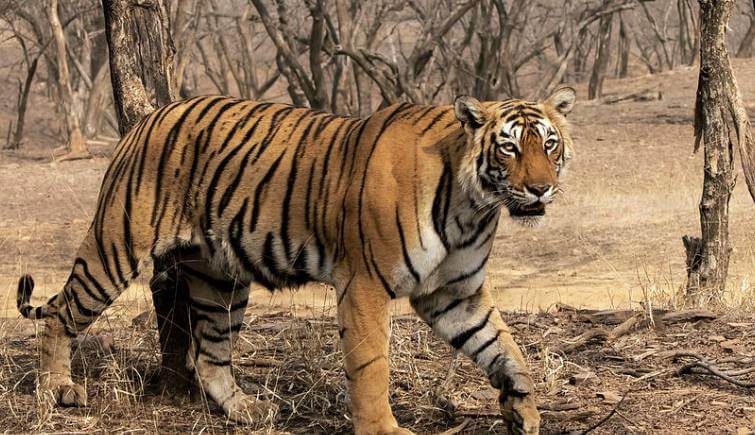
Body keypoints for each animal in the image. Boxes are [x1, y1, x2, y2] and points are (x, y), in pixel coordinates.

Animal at [17, 86, 576, 435]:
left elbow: (505, 348)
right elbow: (371, 367)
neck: (473, 208)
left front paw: (523, 409)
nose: (540, 188)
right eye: (508, 148)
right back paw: (58, 390)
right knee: (59, 313)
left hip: (220, 280)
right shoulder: (365, 284)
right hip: (115, 247)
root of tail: (148, 117)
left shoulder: (454, 293)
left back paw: (247, 410)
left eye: (549, 144)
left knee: (210, 355)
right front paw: (384, 428)